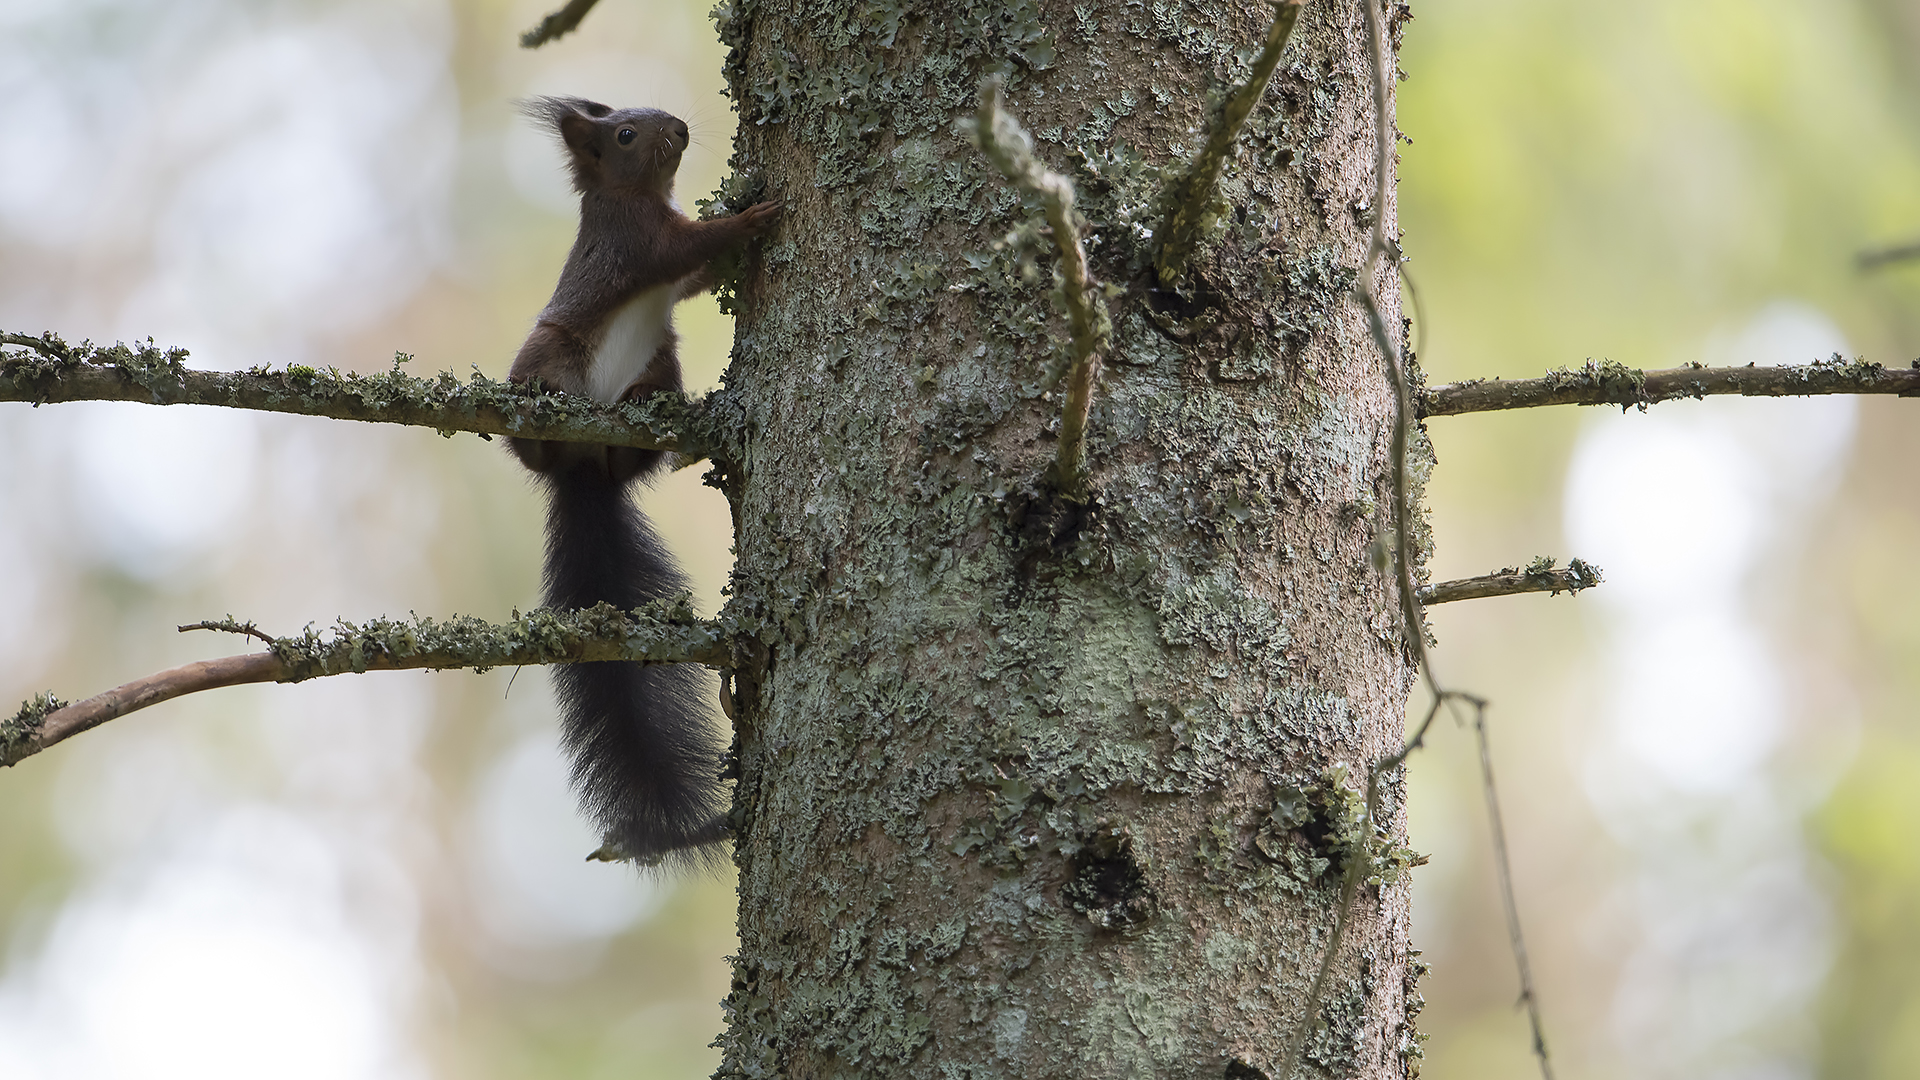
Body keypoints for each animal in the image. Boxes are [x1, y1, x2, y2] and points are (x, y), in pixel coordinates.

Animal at [507, 97, 780, 866]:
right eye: (625, 134)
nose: (681, 130)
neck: (632, 194)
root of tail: (583, 470)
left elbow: (686, 280)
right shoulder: (636, 241)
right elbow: (678, 254)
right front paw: (748, 218)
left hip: (662, 365)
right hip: (552, 352)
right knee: (532, 431)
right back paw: (537, 425)